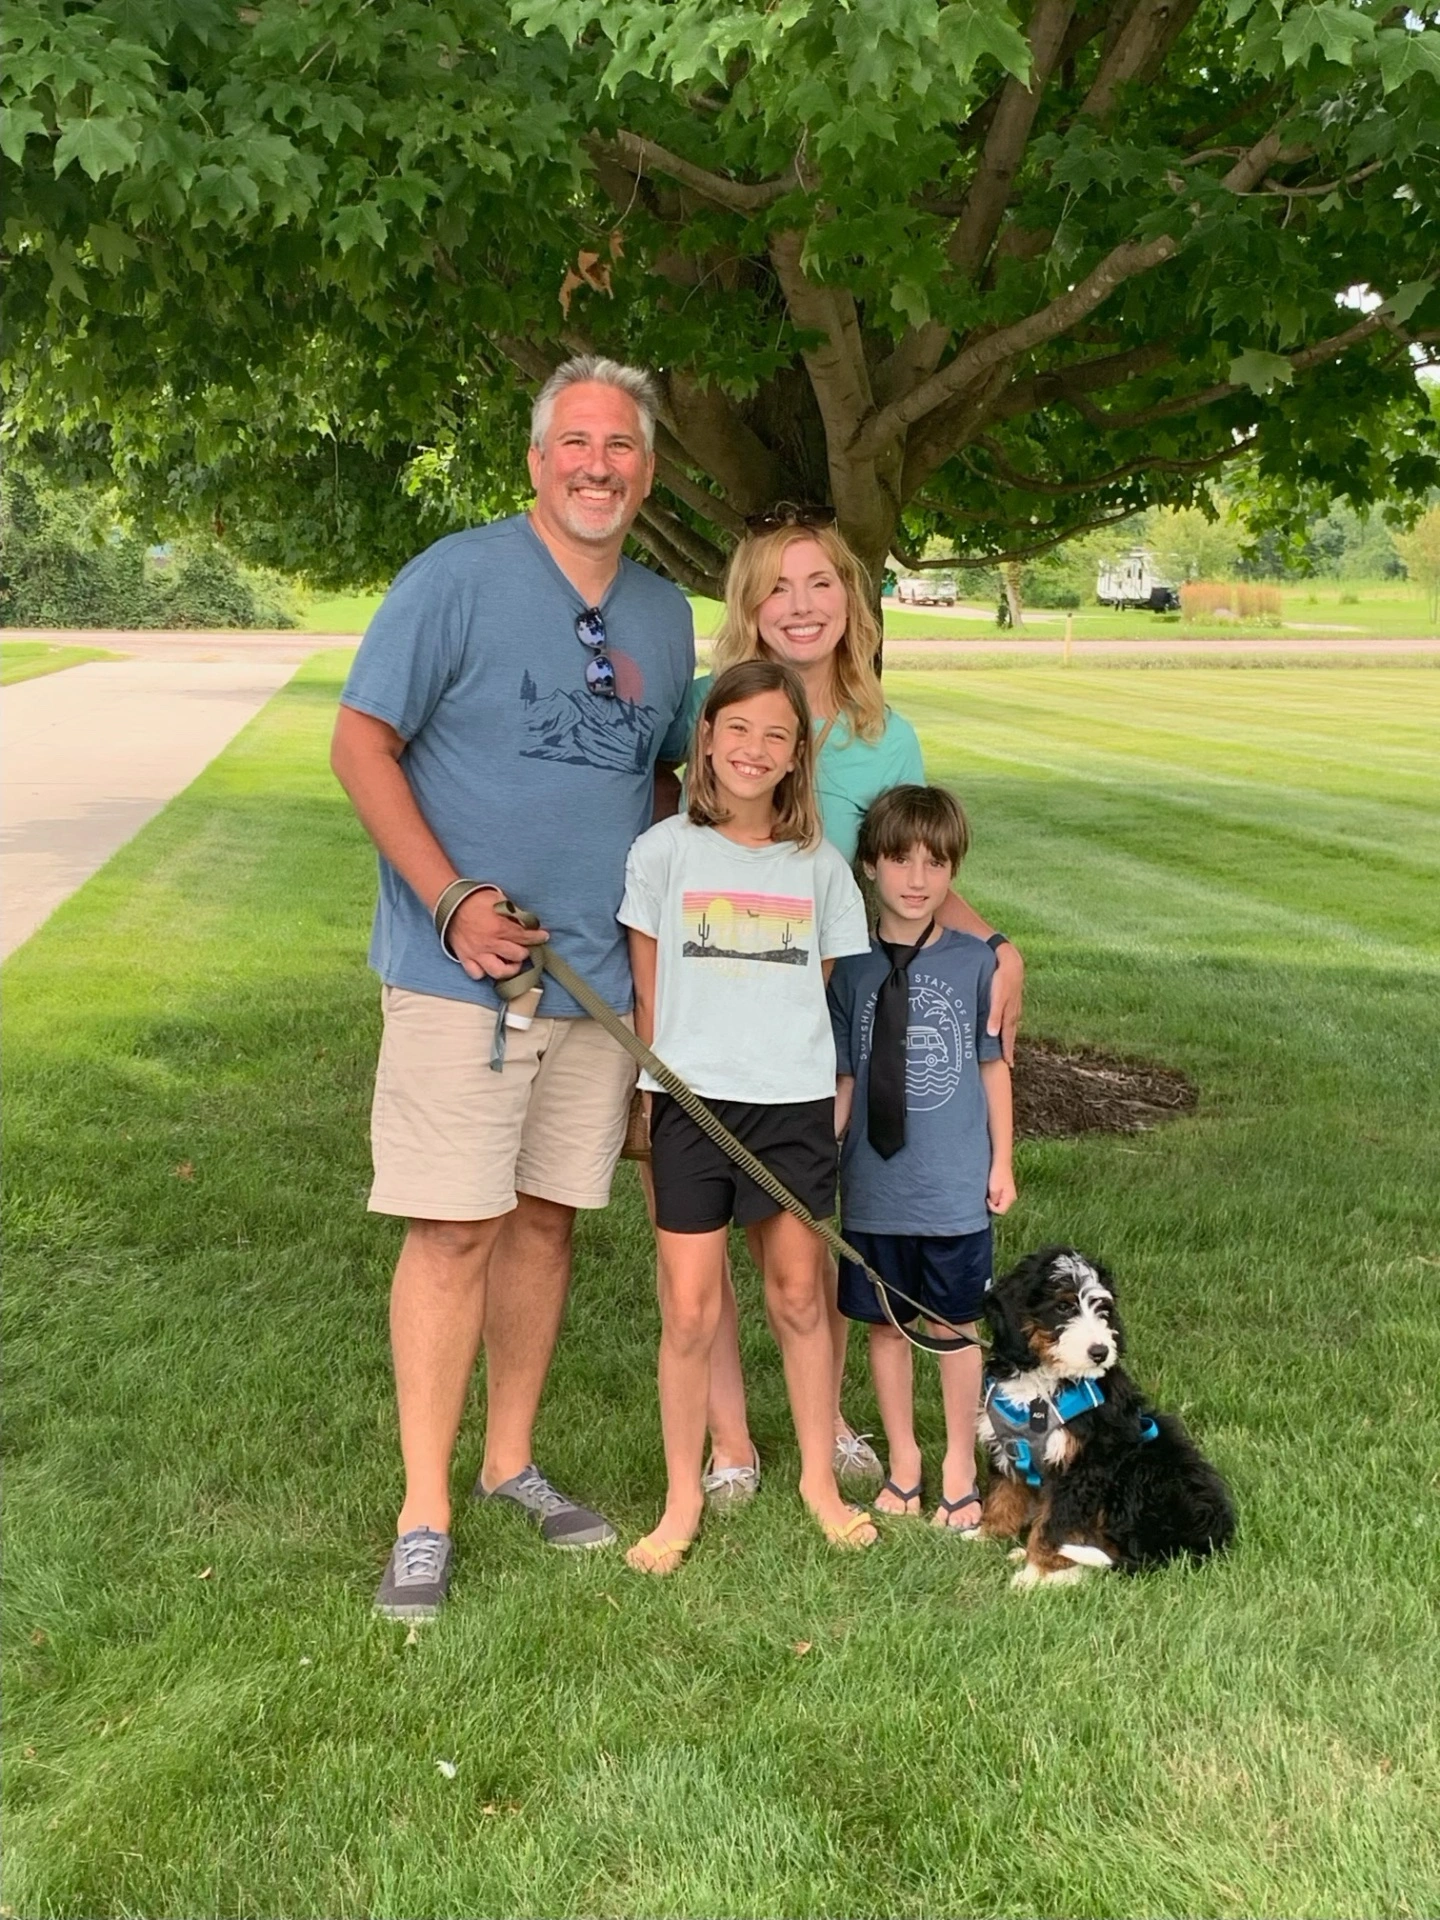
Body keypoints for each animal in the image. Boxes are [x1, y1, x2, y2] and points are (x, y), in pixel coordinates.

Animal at [983, 1244, 1244, 1589]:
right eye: (1063, 1306)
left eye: (1103, 1310)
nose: (1100, 1352)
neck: (1043, 1385)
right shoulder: (1007, 1446)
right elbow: (1004, 1494)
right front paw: (986, 1535)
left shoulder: (1084, 1467)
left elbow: (1054, 1525)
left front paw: (1035, 1574)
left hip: (1145, 1468)